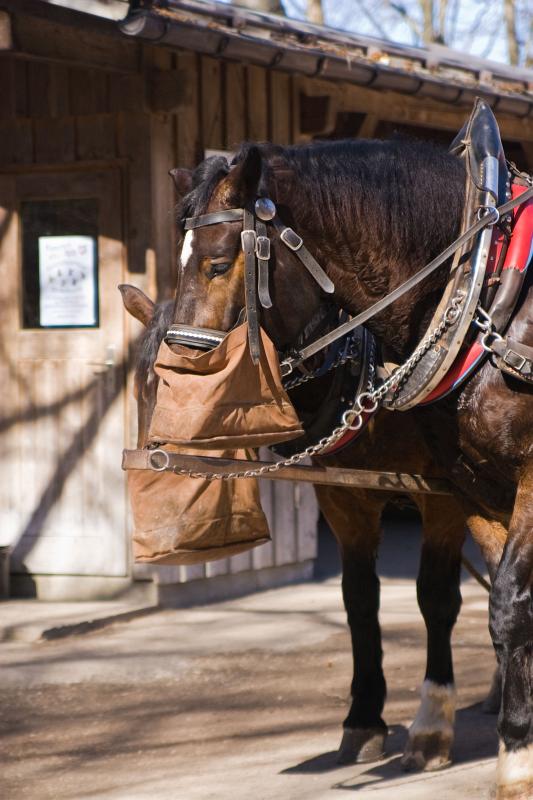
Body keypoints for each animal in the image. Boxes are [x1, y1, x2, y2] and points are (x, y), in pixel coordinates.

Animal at [118, 276, 496, 776]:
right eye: (142, 391)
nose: (164, 475)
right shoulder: (342, 499)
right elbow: (359, 602)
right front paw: (363, 720)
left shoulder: (447, 500)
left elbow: (436, 600)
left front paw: (432, 727)